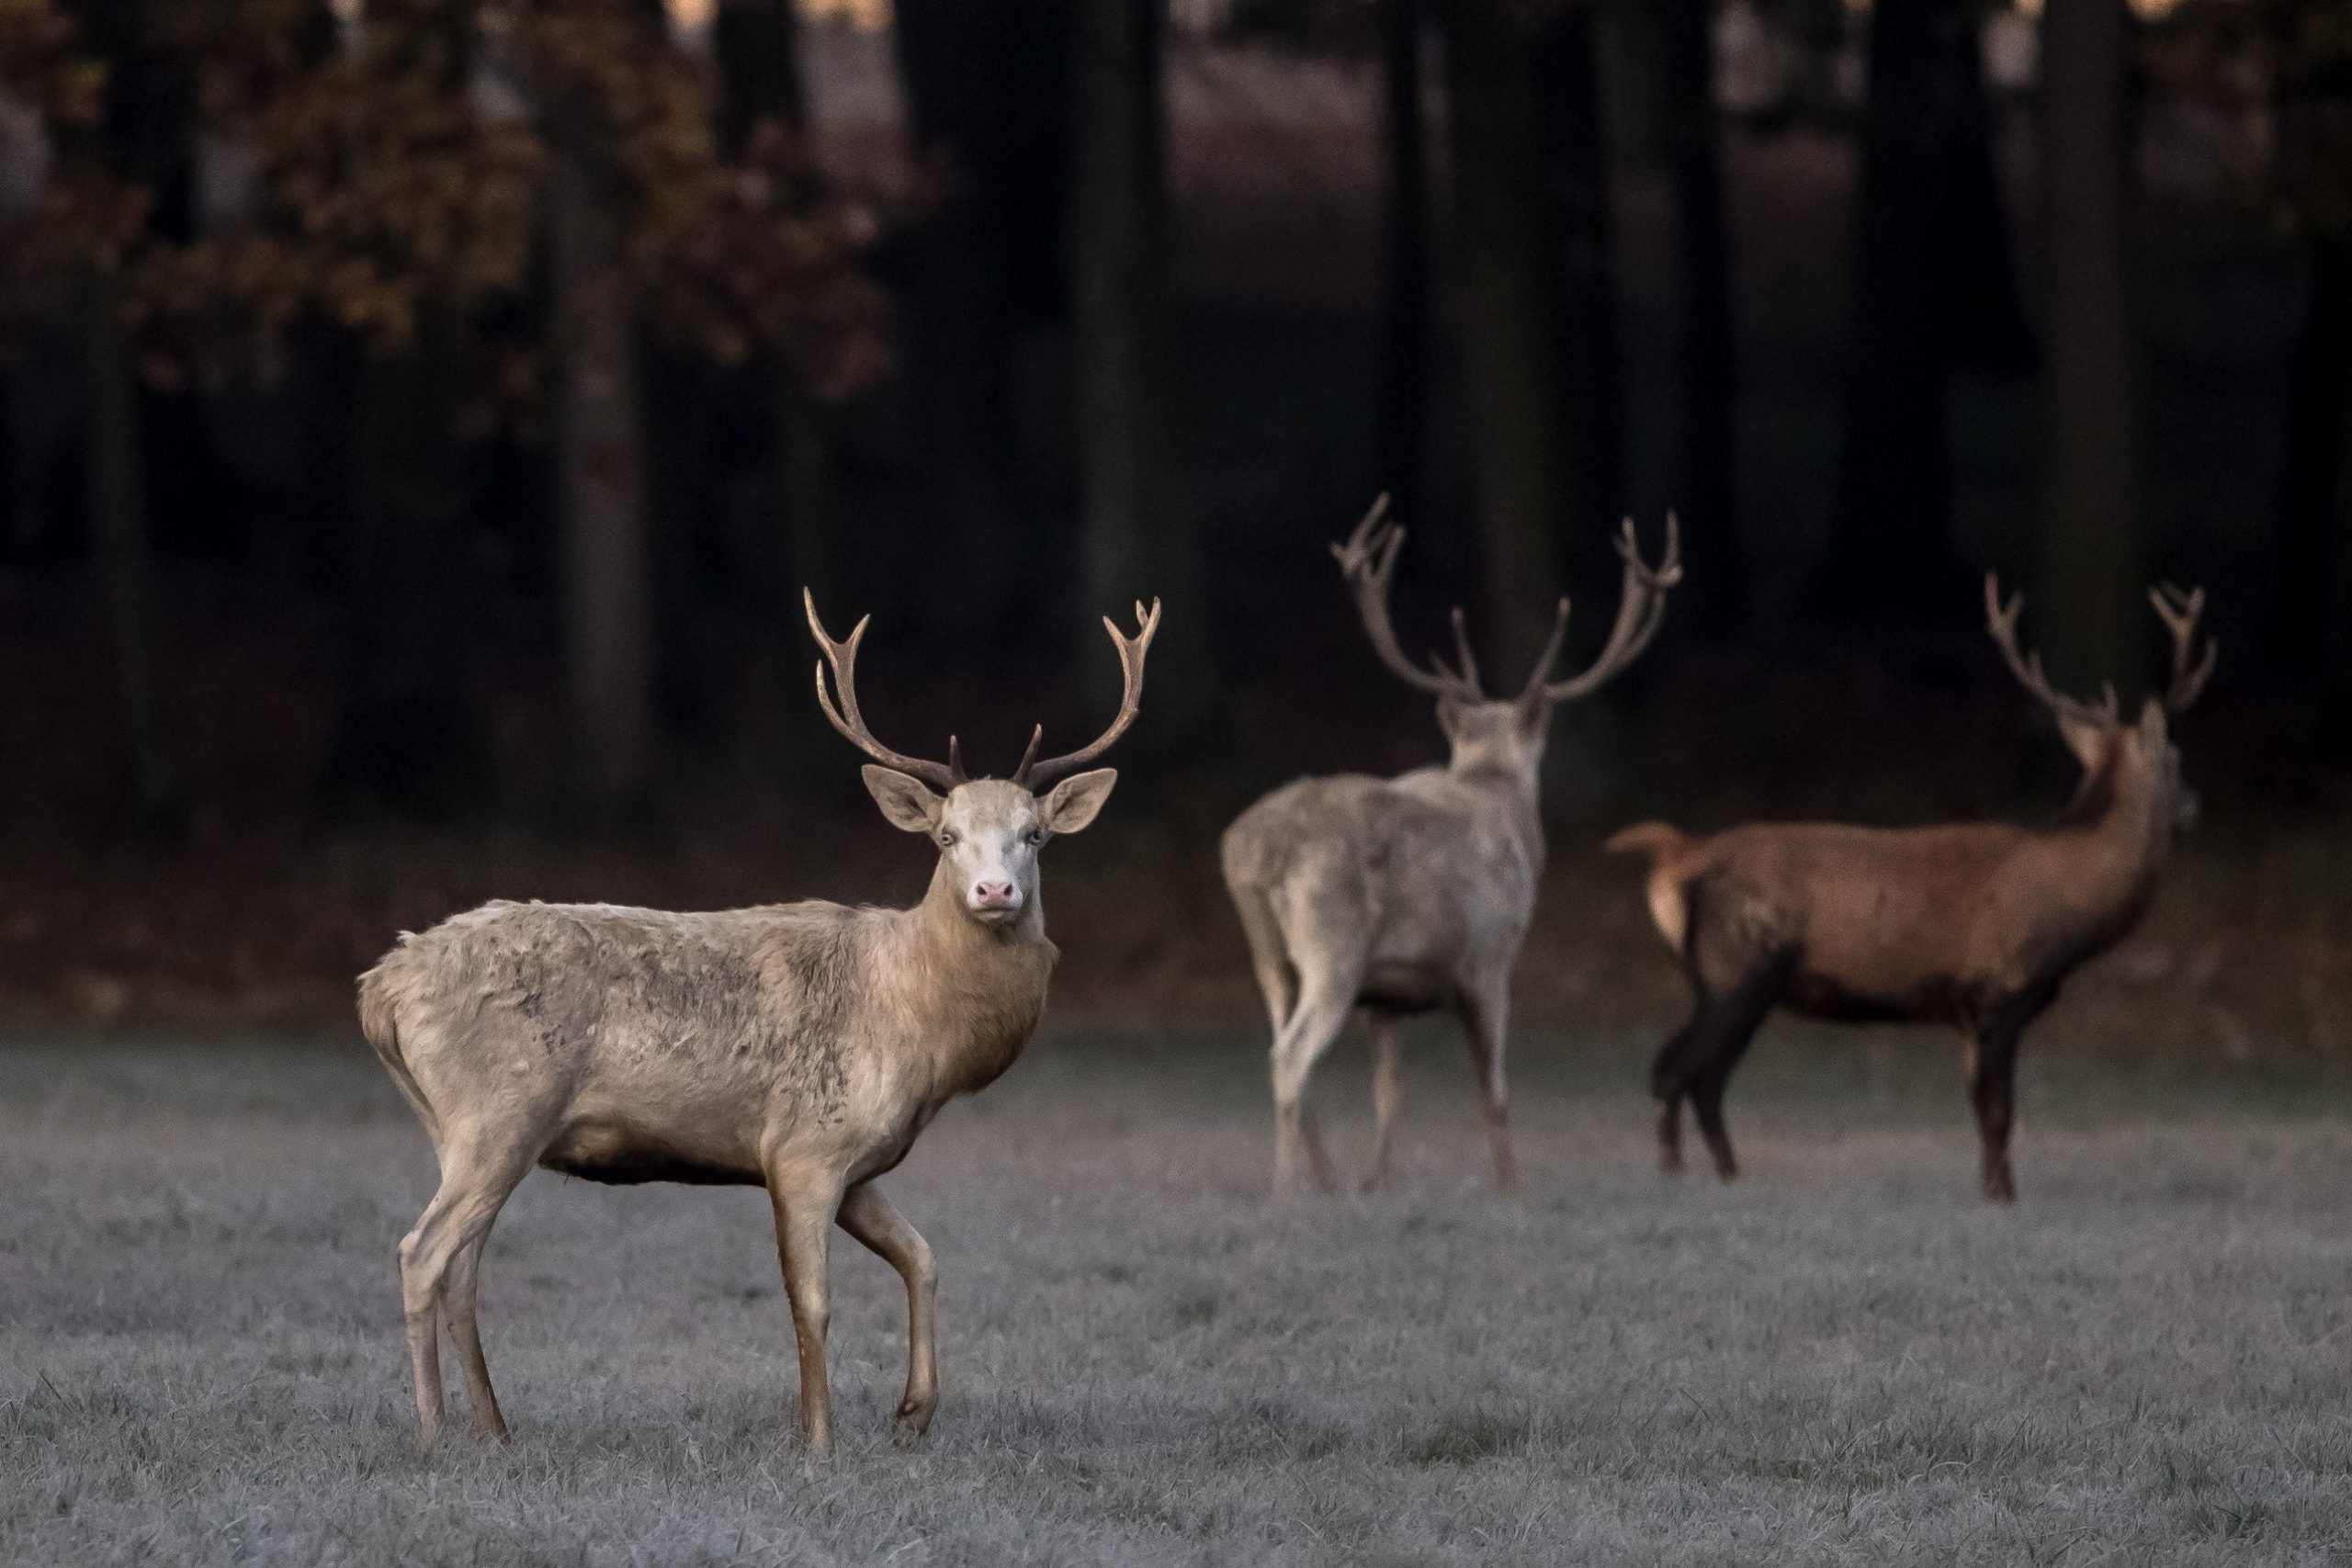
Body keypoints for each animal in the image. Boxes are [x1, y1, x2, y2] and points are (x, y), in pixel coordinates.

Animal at [358, 589, 1159, 1453]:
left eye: (1033, 834)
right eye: (947, 837)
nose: (994, 891)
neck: (918, 1029)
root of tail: (380, 988)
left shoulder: (858, 1160)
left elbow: (923, 1255)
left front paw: (912, 1412)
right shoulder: (804, 1143)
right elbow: (812, 1300)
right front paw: (819, 1443)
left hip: (459, 1127)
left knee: (463, 1264)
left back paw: (496, 1428)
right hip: (499, 1110)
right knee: (422, 1251)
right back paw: (434, 1430)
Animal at [1222, 495, 1682, 1196]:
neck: (1493, 790)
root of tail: (1251, 851)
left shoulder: (1386, 996)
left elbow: (1391, 1090)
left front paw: (1376, 1181)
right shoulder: (1490, 957)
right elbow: (1494, 1090)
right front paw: (1510, 1184)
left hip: (1269, 953)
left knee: (1278, 1046)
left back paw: (1325, 1179)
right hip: (1333, 944)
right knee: (1291, 1055)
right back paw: (1285, 1189)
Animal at [1605, 577, 2215, 1202]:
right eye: (2175, 758)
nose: (2194, 805)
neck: (2071, 910)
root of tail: (1678, 856)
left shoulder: (1967, 1013)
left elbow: (1980, 1114)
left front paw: (1990, 1189)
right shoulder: (1997, 991)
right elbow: (1999, 1113)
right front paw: (2004, 1198)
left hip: (1726, 982)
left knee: (1703, 1081)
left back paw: (1727, 1174)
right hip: (1735, 971)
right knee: (1673, 1071)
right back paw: (1675, 1173)